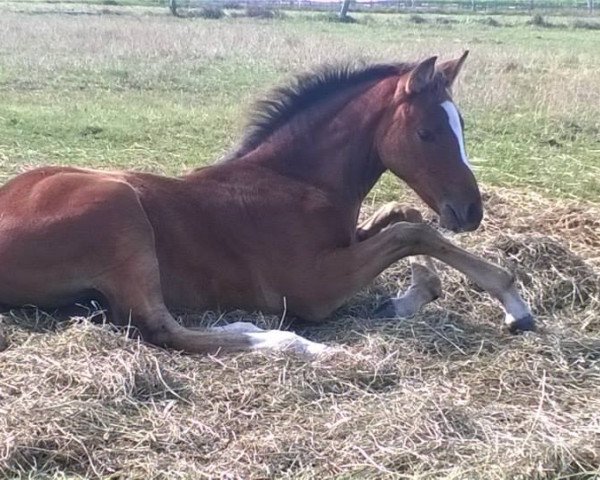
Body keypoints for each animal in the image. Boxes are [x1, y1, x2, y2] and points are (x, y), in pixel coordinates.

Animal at [0, 52, 536, 356]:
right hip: (120, 207)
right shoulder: (313, 289)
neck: (294, 180)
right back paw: (295, 344)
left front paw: (407, 295)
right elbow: (413, 230)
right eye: (427, 132)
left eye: (460, 125)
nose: (470, 210)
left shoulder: (347, 241)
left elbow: (404, 217)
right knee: (160, 328)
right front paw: (513, 302)